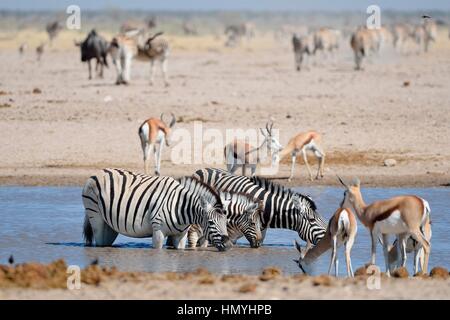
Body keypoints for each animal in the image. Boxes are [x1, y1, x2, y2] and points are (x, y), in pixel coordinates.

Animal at [81, 169, 230, 251]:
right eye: (210, 223)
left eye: (225, 222)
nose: (228, 244)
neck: (180, 206)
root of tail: (99, 171)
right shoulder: (158, 231)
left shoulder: (180, 235)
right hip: (95, 215)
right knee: (99, 241)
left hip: (109, 223)